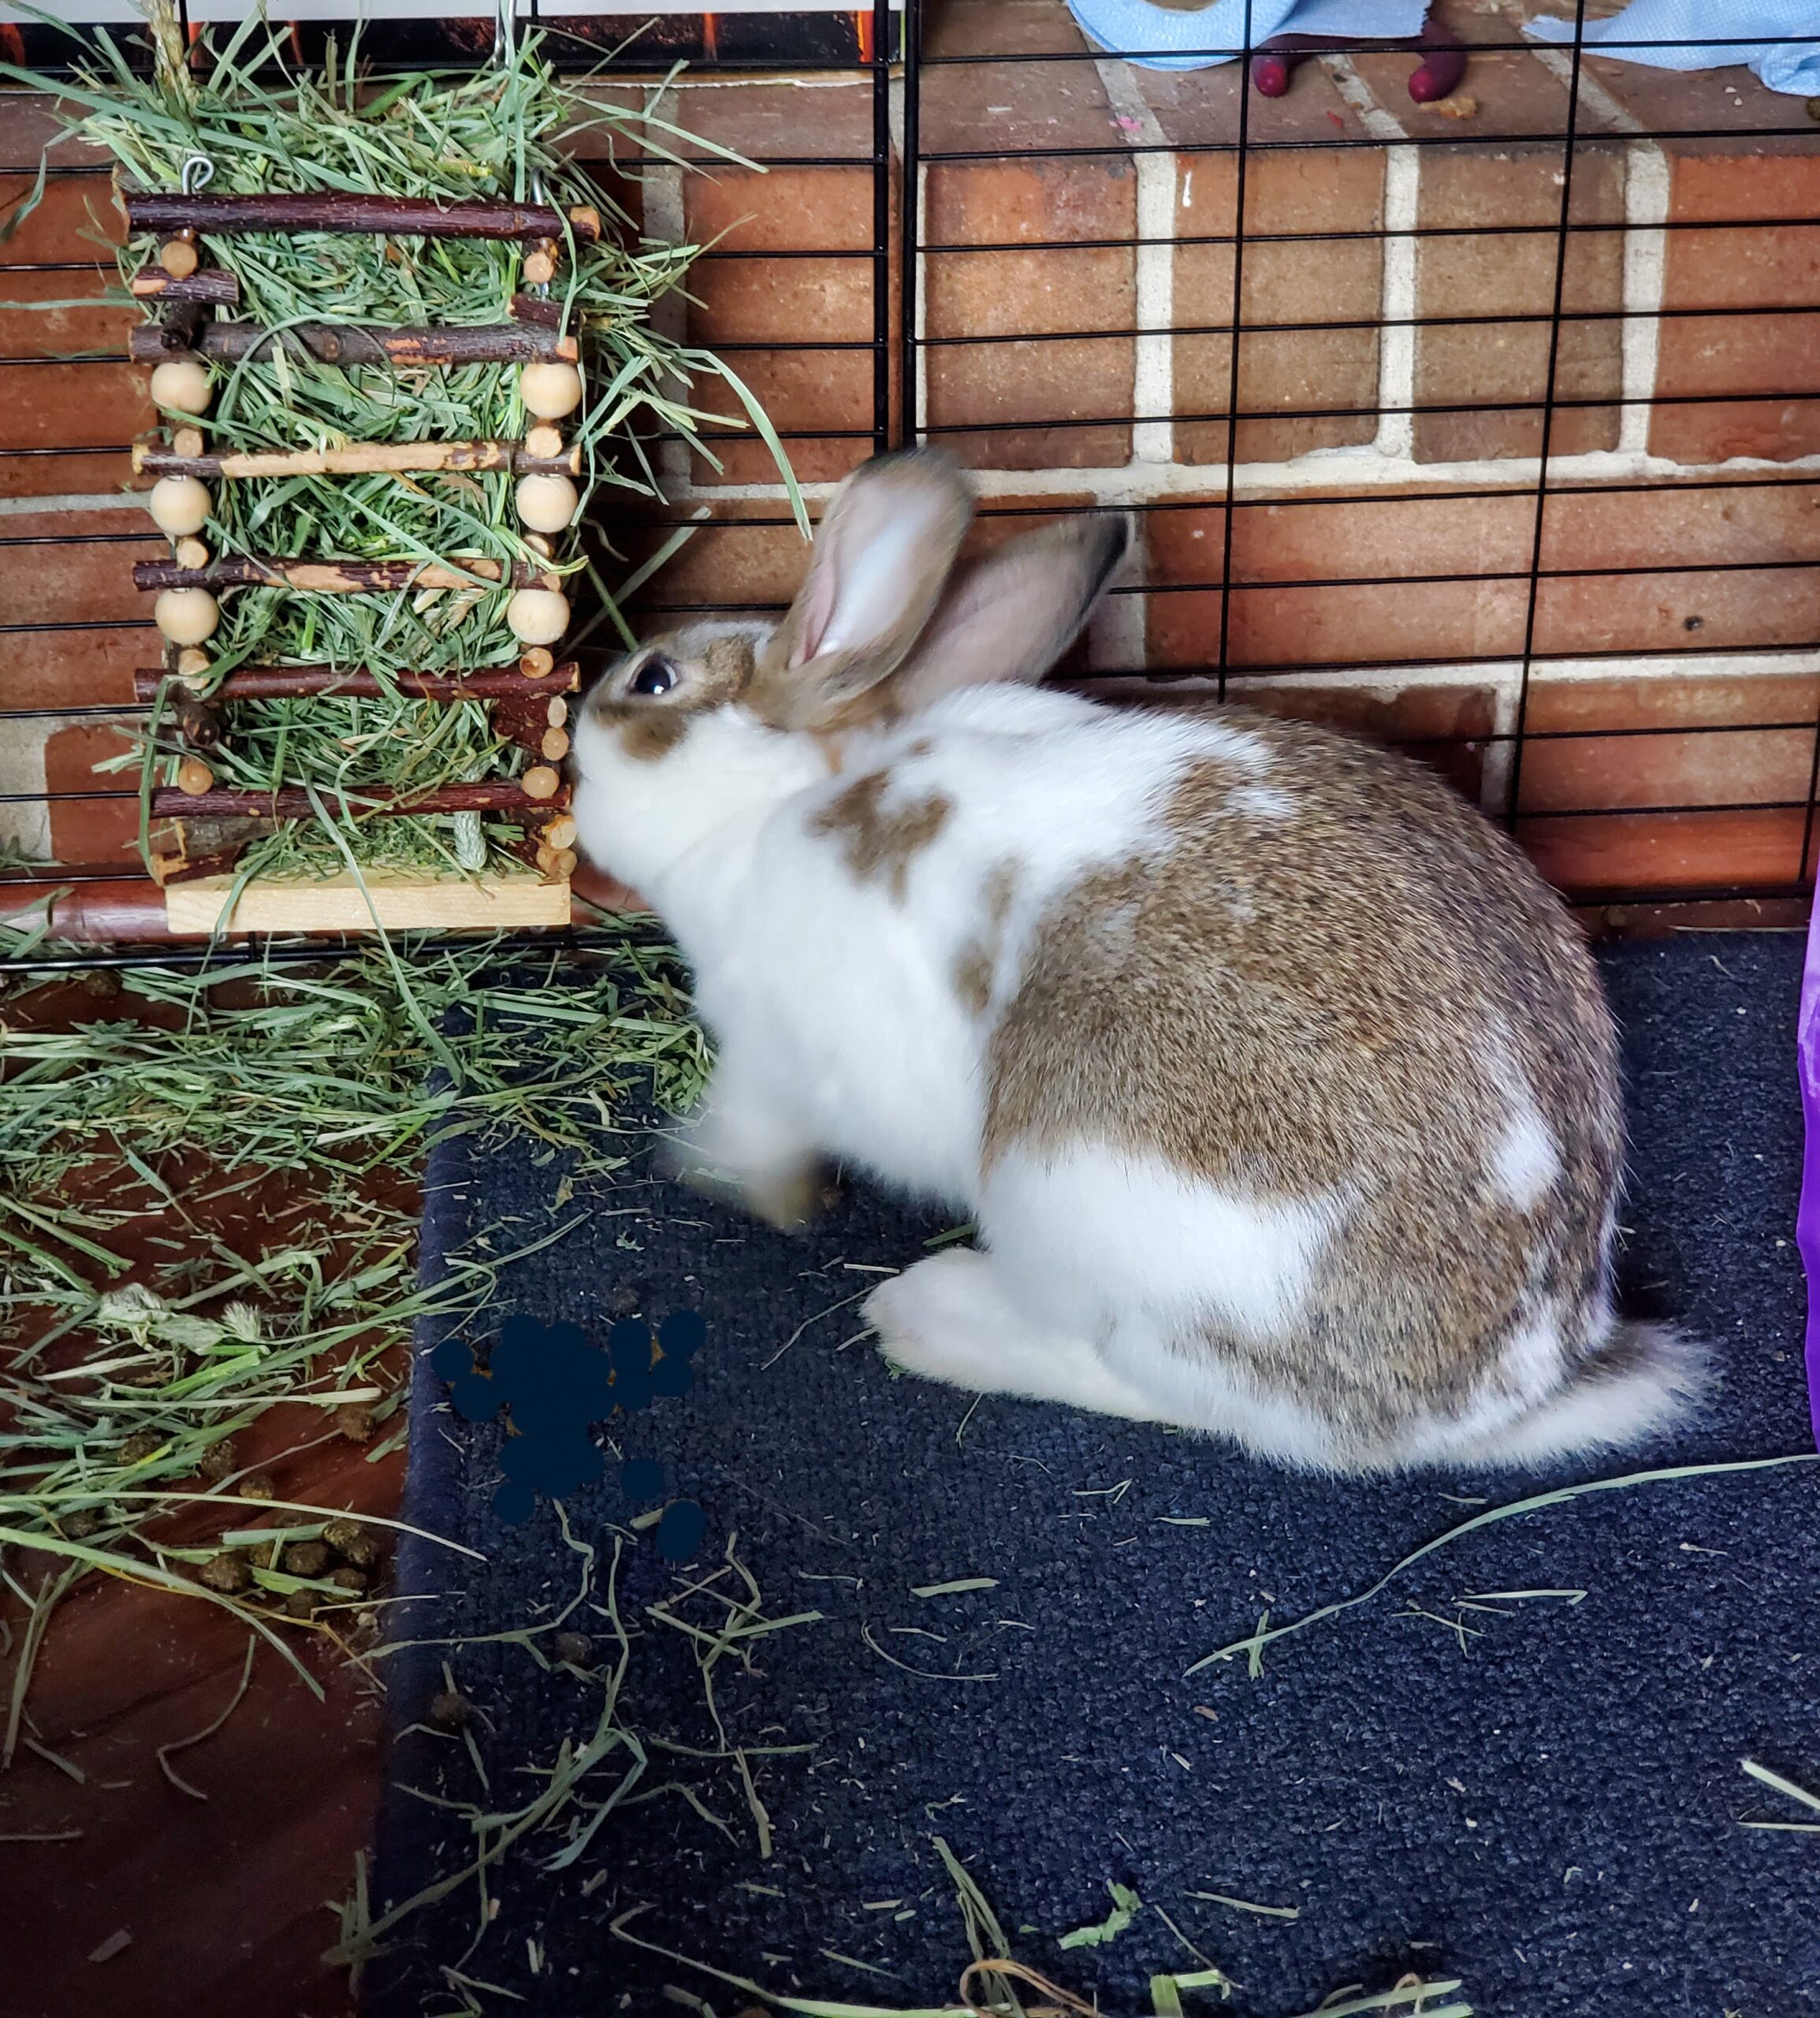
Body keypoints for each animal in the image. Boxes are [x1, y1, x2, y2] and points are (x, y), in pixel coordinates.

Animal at [569, 446, 1703, 1474]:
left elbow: (754, 1126)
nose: (577, 736)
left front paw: (718, 1172)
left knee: (1153, 1381)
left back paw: (932, 1317)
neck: (770, 805)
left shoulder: (779, 1057)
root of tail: (1503, 1391)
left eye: (653, 679)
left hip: (1071, 1192)